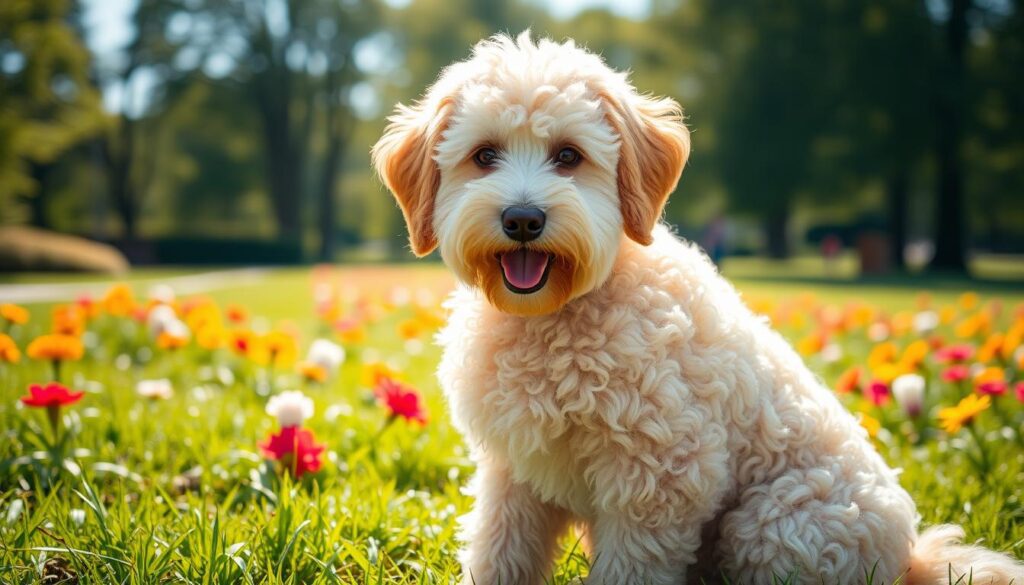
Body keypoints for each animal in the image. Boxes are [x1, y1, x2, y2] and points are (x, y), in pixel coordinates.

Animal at [372, 30, 1019, 585]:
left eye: (568, 156)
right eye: (484, 156)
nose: (523, 220)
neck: (557, 318)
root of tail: (911, 559)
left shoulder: (659, 478)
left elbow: (628, 567)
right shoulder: (514, 473)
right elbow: (499, 550)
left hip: (772, 525)